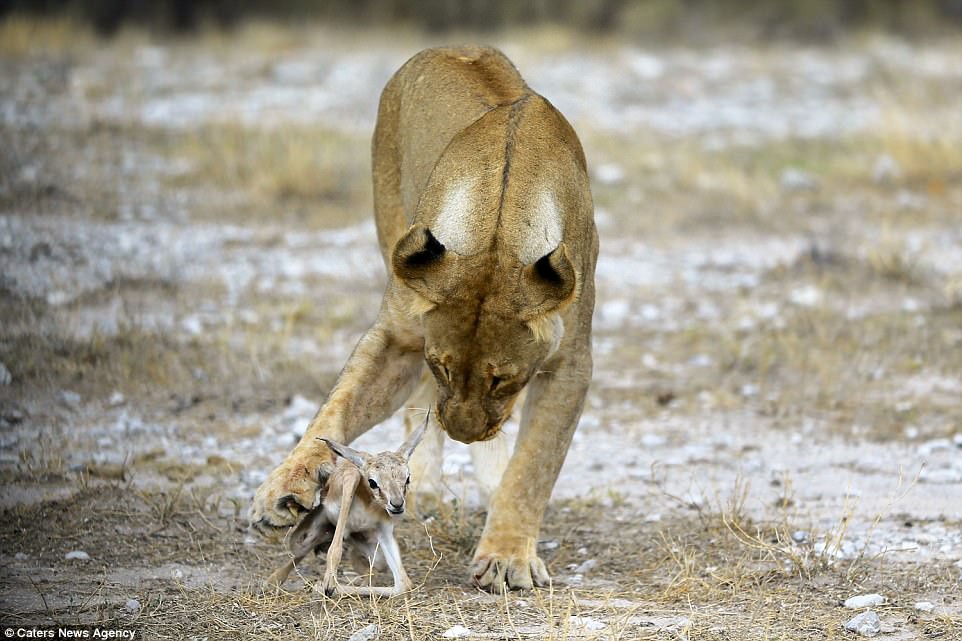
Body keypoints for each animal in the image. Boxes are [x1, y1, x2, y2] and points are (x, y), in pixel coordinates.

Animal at [268, 420, 422, 596]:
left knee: (374, 566)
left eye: (408, 478)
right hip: (304, 538)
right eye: (372, 482)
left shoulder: (383, 530)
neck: (368, 507)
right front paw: (326, 584)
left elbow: (403, 584)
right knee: (301, 550)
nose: (397, 504)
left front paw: (327, 586)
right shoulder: (350, 478)